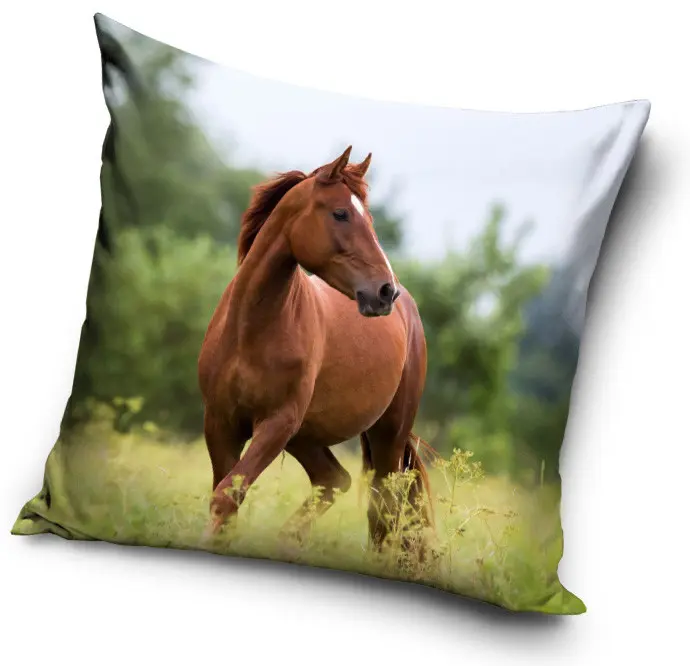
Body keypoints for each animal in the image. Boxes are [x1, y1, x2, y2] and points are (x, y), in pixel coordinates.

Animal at [198, 146, 433, 553]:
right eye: (340, 213)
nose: (385, 291)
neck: (250, 332)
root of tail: (410, 313)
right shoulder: (221, 422)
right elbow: (225, 498)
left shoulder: (277, 423)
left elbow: (228, 495)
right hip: (307, 436)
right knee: (334, 479)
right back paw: (288, 539)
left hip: (387, 435)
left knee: (382, 510)